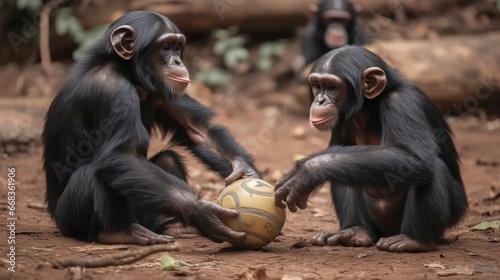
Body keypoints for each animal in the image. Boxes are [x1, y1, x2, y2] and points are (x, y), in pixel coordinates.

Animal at [42, 10, 260, 245]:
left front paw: (246, 172)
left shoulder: (161, 89)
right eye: (165, 47)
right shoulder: (110, 90)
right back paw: (118, 232)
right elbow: (121, 155)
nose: (178, 60)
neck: (128, 73)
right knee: (92, 174)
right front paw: (201, 211)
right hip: (69, 219)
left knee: (167, 159)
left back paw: (173, 225)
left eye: (177, 46)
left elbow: (196, 129)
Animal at [276, 45, 466, 252]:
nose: (319, 100)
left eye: (332, 87)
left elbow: (414, 159)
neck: (369, 109)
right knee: (342, 171)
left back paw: (415, 240)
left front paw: (307, 170)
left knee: (432, 168)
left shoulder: (402, 103)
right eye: (317, 85)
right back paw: (354, 232)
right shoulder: (342, 122)